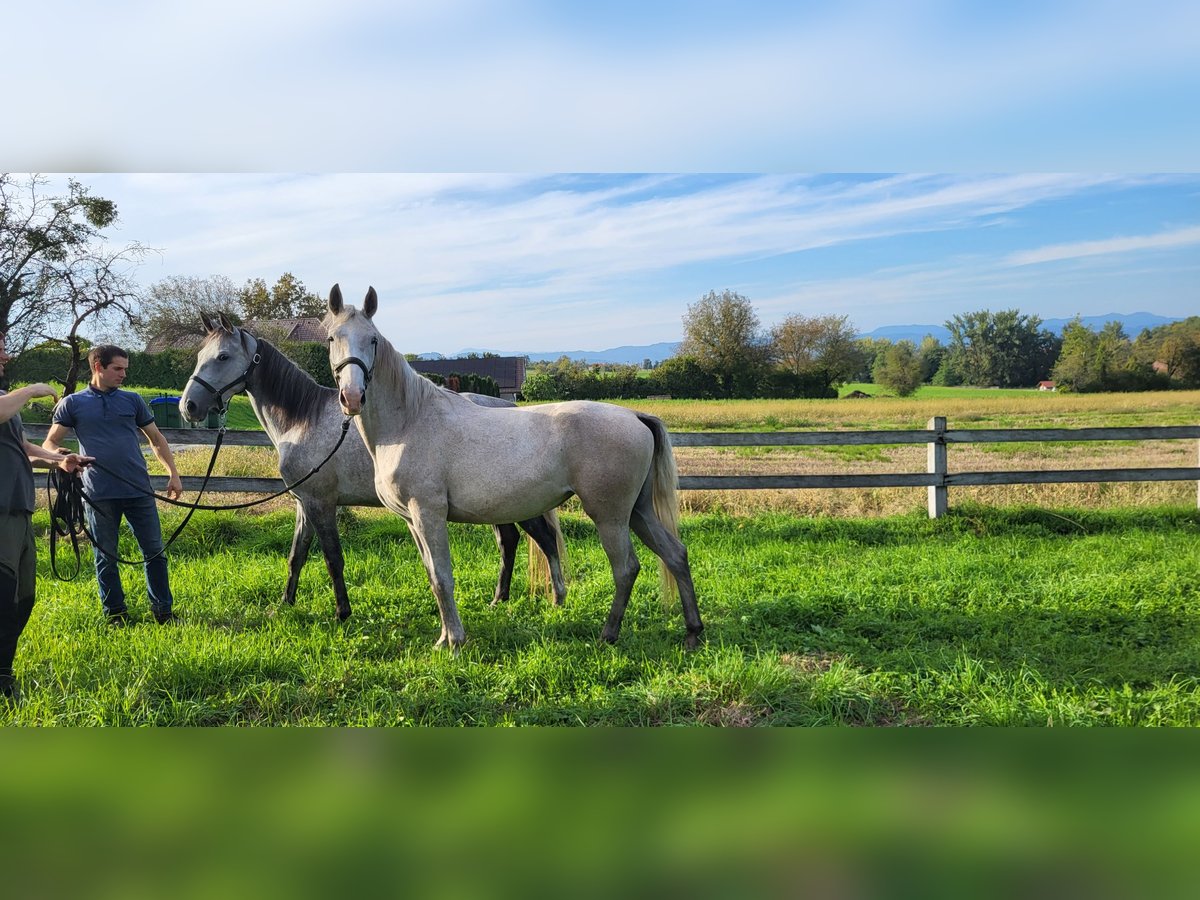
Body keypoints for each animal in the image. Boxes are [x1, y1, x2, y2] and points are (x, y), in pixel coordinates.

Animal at [180, 314, 564, 624]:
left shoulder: (322, 503)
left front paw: (342, 613)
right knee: (509, 541)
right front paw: (285, 604)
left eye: (223, 357)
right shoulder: (304, 503)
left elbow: (332, 558)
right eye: (200, 356)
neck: (303, 420)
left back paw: (556, 599)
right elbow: (296, 556)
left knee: (544, 540)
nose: (189, 406)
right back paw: (499, 599)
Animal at [324, 285, 705, 652]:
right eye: (331, 338)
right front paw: (444, 638)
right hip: (639, 511)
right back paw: (693, 633)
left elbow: (444, 577)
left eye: (372, 339)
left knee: (626, 569)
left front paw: (455, 642)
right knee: (676, 554)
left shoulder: (428, 514)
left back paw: (608, 635)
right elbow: (433, 577)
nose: (352, 397)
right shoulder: (412, 521)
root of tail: (635, 416)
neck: (409, 422)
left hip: (610, 516)